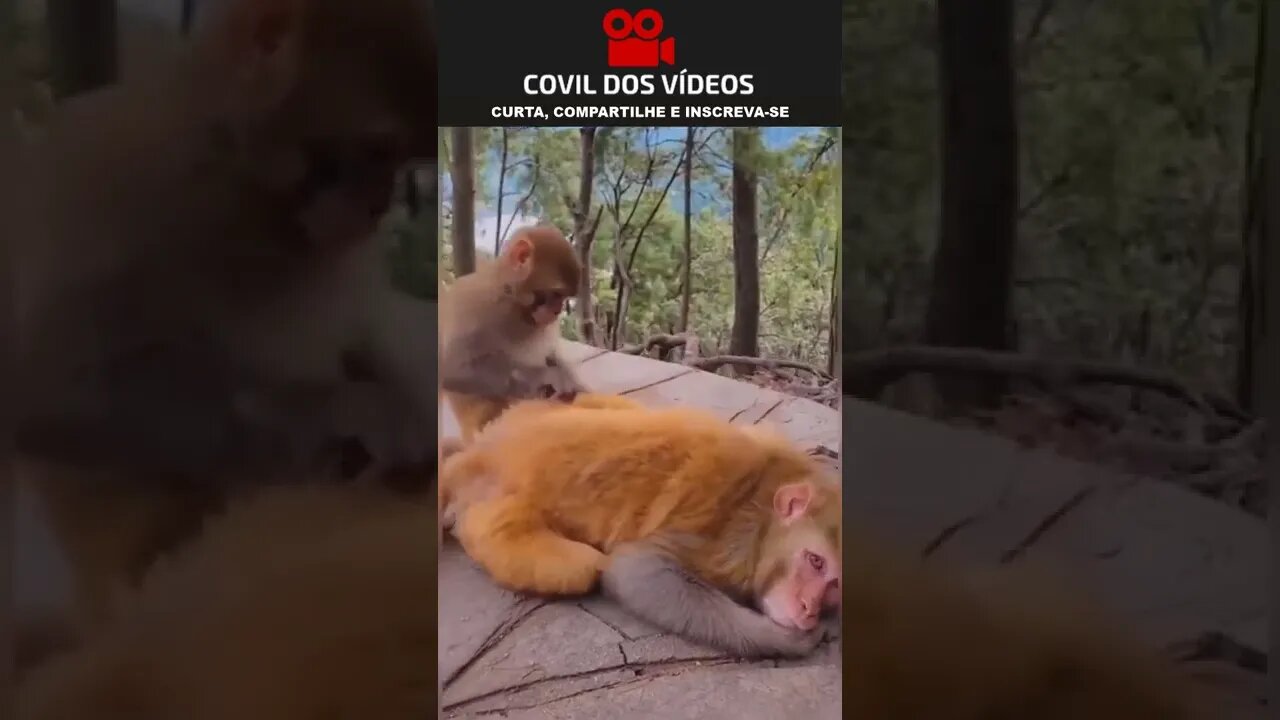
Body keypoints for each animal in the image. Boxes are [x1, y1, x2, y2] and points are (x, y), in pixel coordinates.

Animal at [10, 0, 439, 630]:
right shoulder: (117, 185)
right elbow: (51, 389)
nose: (379, 204)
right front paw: (347, 408)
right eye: (379, 151)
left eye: (405, 162)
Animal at [438, 398, 840, 658]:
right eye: (815, 562)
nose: (809, 609)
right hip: (488, 498)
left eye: (835, 585)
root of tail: (480, 452)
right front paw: (786, 641)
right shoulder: (731, 537)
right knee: (583, 567)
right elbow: (638, 572)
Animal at [439, 224, 587, 441]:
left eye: (564, 297)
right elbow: (451, 370)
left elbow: (551, 354)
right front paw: (538, 376)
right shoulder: (474, 304)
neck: (511, 298)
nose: (557, 310)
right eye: (556, 294)